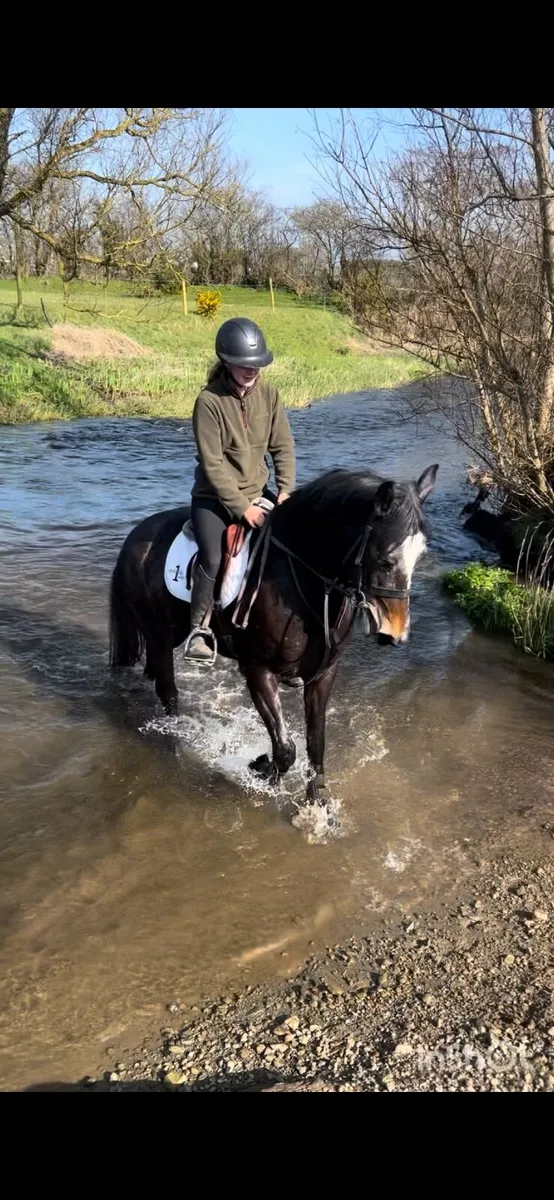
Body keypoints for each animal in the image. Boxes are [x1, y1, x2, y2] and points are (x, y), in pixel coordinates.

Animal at [109, 463, 438, 806]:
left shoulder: (324, 674)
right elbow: (285, 749)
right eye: (386, 558)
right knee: (168, 690)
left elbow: (315, 741)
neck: (301, 580)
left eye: (420, 557)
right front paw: (260, 767)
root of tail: (136, 537)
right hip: (159, 635)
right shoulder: (258, 671)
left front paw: (316, 803)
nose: (396, 634)